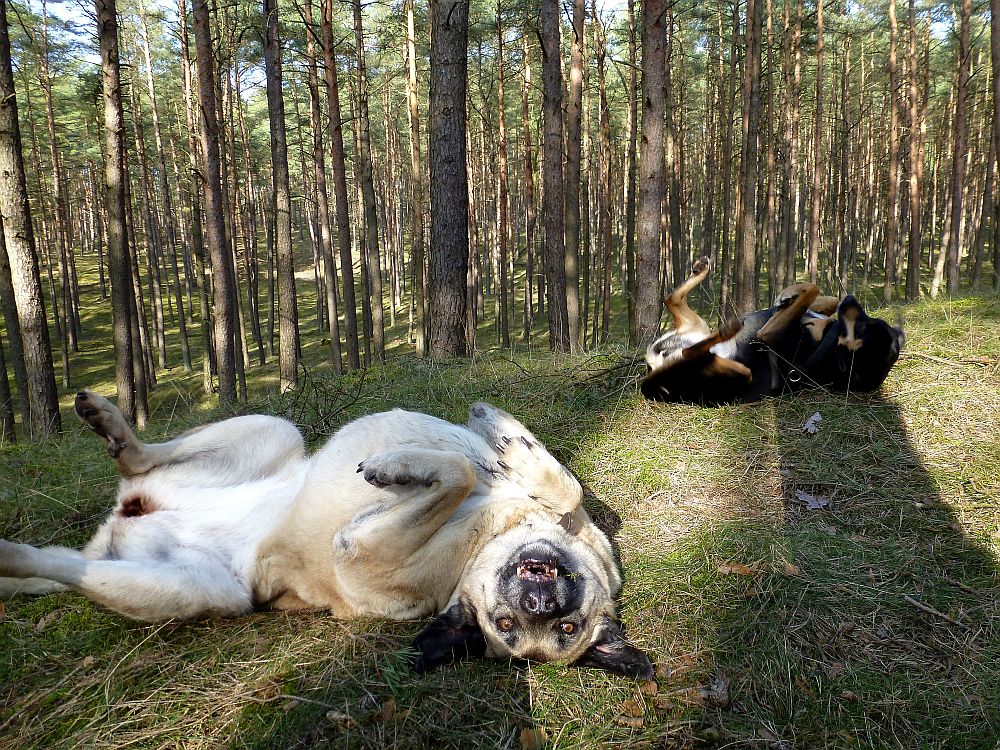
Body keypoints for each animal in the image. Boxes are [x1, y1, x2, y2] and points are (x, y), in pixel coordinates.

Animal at [640, 262, 908, 408]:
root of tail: (654, 374)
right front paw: (788, 295)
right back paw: (701, 269)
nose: (851, 297)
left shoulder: (769, 335)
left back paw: (728, 329)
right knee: (672, 299)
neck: (830, 346)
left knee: (690, 350)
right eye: (871, 320)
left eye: (863, 327)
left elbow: (813, 289)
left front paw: (788, 295)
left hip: (738, 373)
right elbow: (824, 296)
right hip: (698, 326)